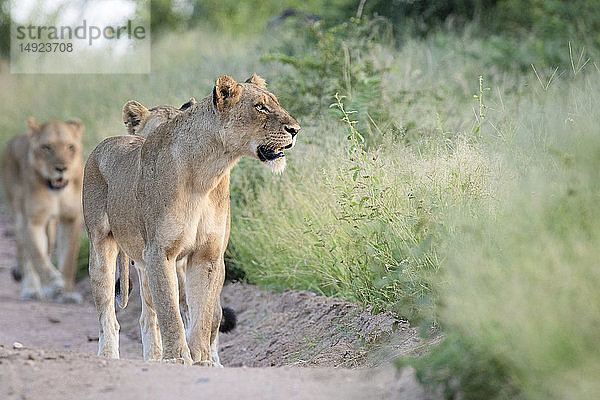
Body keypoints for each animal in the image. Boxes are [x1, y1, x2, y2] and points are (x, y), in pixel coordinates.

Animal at [1, 117, 85, 302]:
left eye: (70, 147)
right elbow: (37, 256)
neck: (57, 192)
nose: (61, 169)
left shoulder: (71, 218)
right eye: (46, 147)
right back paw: (32, 289)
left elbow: (69, 260)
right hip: (18, 214)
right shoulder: (33, 221)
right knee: (26, 252)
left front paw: (68, 293)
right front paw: (54, 282)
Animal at [83, 74, 298, 366]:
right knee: (109, 312)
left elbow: (203, 315)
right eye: (260, 107)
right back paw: (109, 356)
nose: (295, 129)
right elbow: (170, 311)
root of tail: (102, 145)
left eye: (273, 103)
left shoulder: (208, 255)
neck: (207, 173)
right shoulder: (159, 252)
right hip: (102, 247)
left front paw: (202, 359)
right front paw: (176, 358)